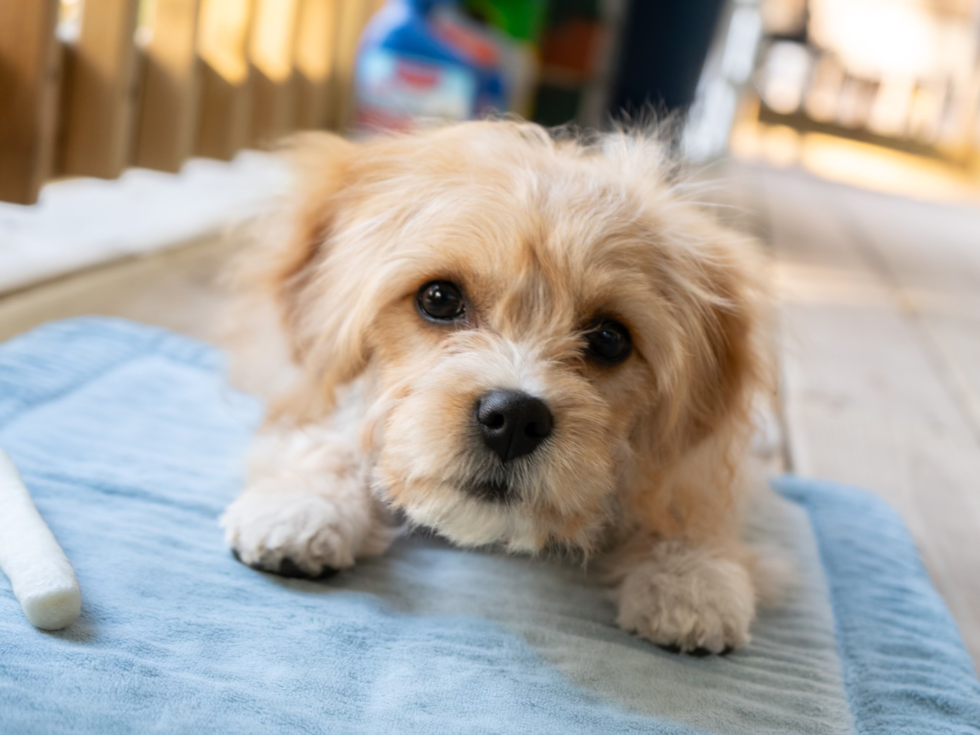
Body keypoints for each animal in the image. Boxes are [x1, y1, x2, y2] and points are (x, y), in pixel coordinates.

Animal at [220, 121, 772, 656]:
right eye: (439, 299)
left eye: (610, 339)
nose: (515, 419)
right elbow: (342, 434)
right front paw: (305, 503)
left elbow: (683, 501)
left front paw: (690, 575)